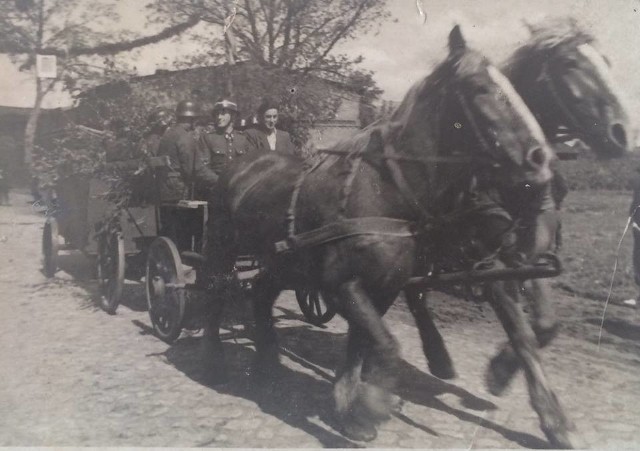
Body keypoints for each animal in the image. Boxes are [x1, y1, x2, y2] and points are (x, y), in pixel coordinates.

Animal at [204, 26, 564, 446]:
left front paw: (349, 406)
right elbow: (387, 346)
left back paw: (267, 365)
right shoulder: (342, 285)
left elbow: (364, 343)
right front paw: (371, 406)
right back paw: (214, 361)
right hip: (221, 248)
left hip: (284, 261)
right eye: (479, 88)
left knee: (261, 293)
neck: (383, 193)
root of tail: (244, 163)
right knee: (213, 291)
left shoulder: (385, 285)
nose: (542, 161)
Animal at [412, 15, 632, 400]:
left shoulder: (531, 257)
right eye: (569, 63)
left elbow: (544, 325)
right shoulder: (491, 261)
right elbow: (521, 326)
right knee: (412, 292)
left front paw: (500, 372)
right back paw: (437, 356)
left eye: (606, 62)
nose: (620, 133)